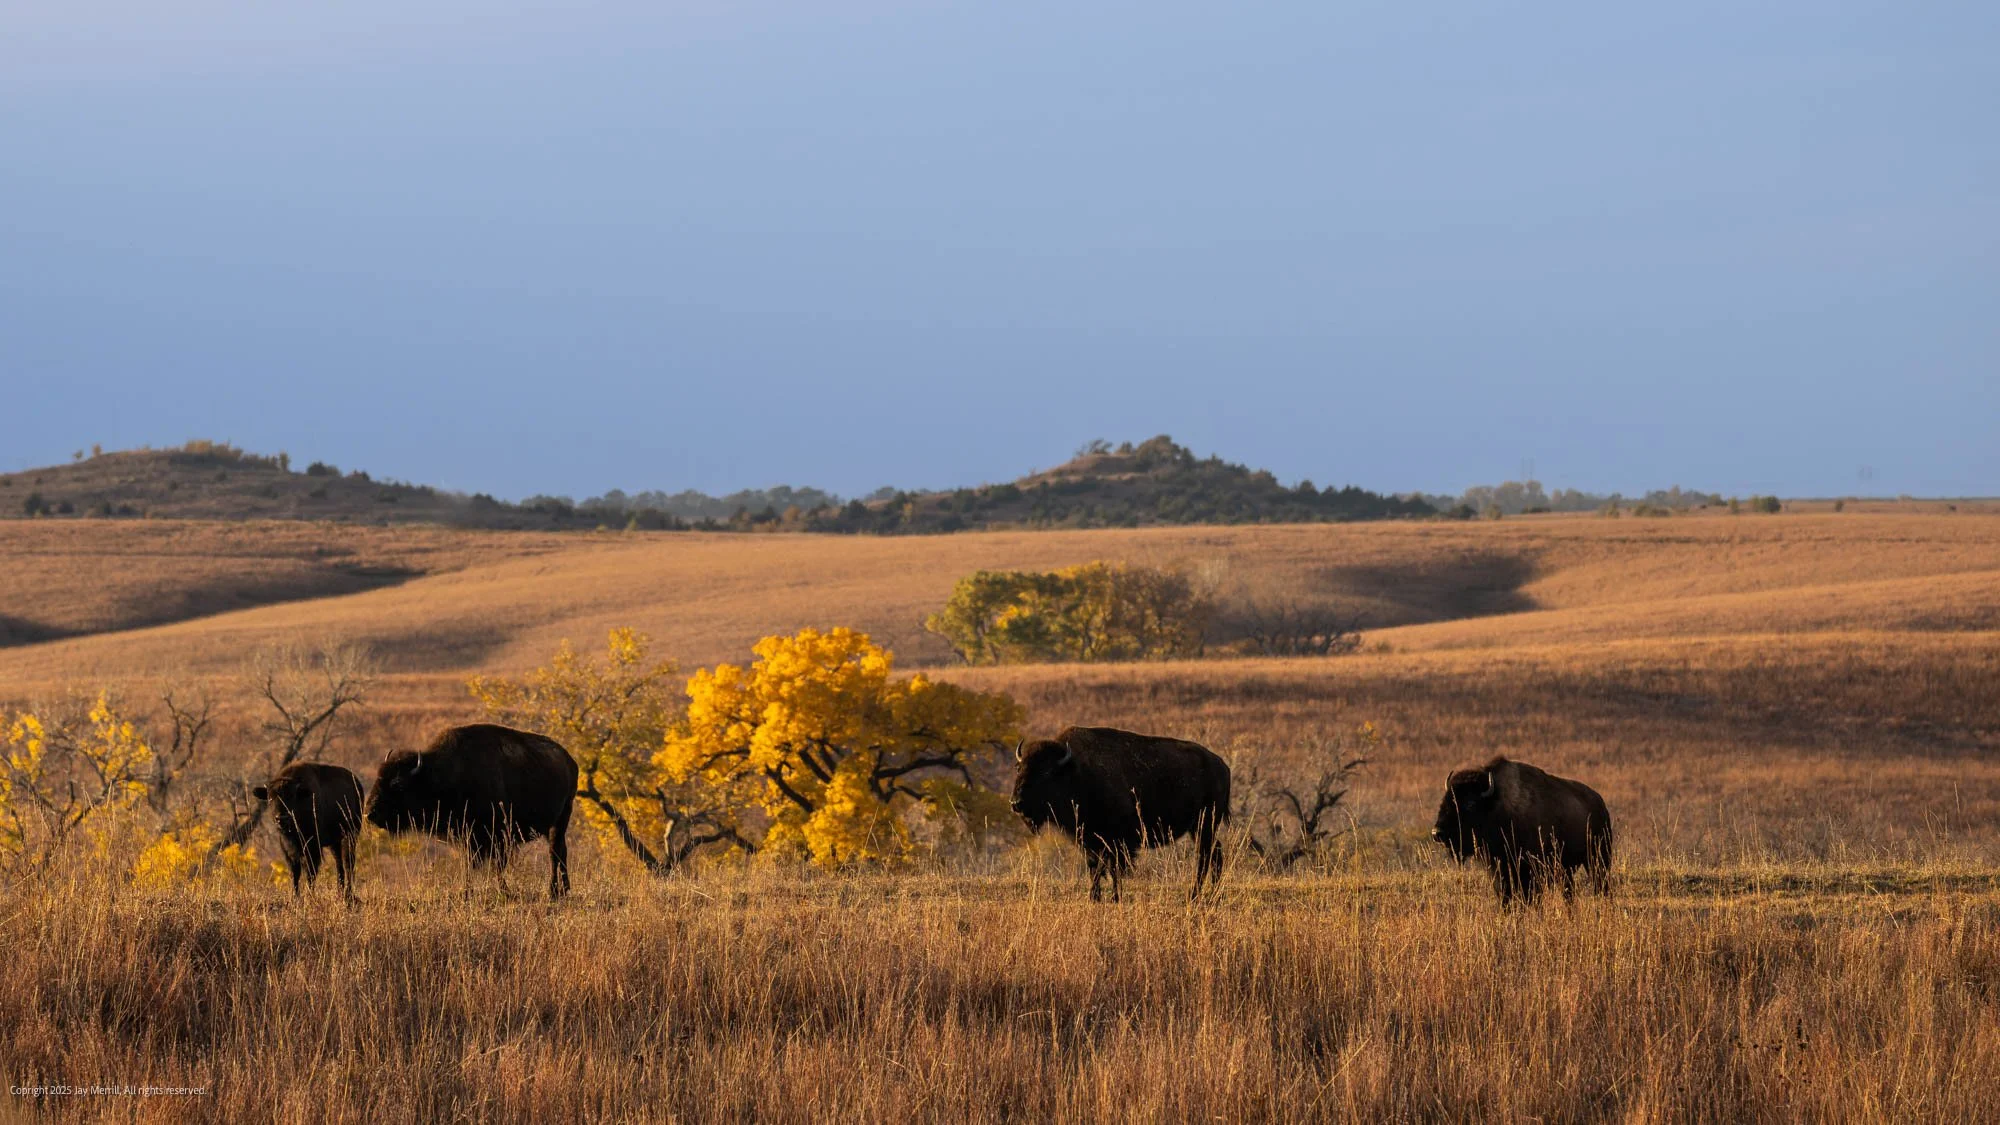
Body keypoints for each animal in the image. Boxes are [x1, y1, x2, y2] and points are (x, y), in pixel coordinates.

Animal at [253, 762, 364, 901]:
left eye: (292, 796)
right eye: (270, 798)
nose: (281, 818)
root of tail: (357, 784)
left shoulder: (312, 847)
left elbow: (310, 872)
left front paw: (309, 896)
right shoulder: (288, 849)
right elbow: (295, 873)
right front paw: (295, 897)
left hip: (351, 835)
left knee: (348, 862)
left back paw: (348, 894)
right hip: (335, 842)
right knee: (339, 864)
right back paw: (340, 892)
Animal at [365, 723, 579, 899]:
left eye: (398, 784)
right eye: (378, 777)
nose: (369, 813)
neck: (439, 775)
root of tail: (570, 761)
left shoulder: (497, 836)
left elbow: (497, 866)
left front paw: (503, 891)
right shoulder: (468, 838)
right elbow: (468, 865)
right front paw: (466, 891)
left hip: (560, 820)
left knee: (555, 853)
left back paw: (554, 891)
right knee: (559, 852)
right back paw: (562, 890)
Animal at [1011, 725, 1231, 901]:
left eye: (1045, 773)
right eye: (1019, 769)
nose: (1016, 803)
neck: (1076, 772)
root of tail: (1221, 765)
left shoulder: (1117, 841)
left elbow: (1114, 869)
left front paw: (1115, 897)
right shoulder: (1090, 841)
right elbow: (1094, 868)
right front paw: (1094, 897)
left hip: (1205, 825)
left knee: (1206, 856)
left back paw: (1195, 894)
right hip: (1199, 828)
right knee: (1214, 854)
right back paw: (1210, 893)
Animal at [1431, 756, 1613, 904]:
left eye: (1470, 804)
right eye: (1445, 800)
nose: (1437, 833)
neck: (1498, 806)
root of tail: (1601, 804)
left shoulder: (1530, 873)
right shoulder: (1499, 872)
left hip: (1598, 860)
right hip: (1567, 870)